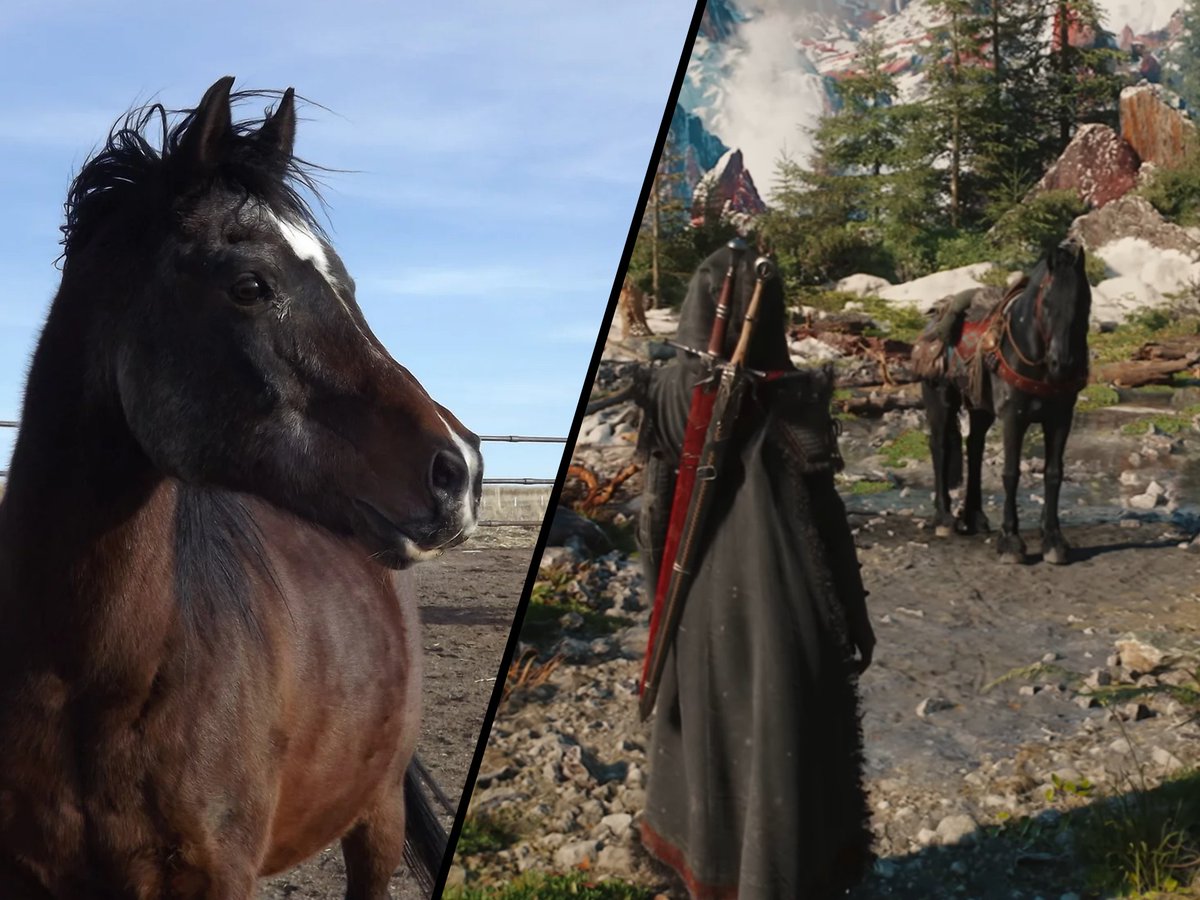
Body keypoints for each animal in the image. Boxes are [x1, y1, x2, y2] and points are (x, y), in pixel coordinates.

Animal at [916, 238, 1091, 565]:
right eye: (1047, 303)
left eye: (1082, 301)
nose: (1061, 363)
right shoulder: (1013, 416)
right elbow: (1011, 474)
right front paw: (1010, 541)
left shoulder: (1061, 417)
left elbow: (1053, 474)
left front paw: (1053, 540)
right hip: (940, 399)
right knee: (940, 446)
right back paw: (944, 518)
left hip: (980, 408)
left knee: (974, 446)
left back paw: (975, 516)